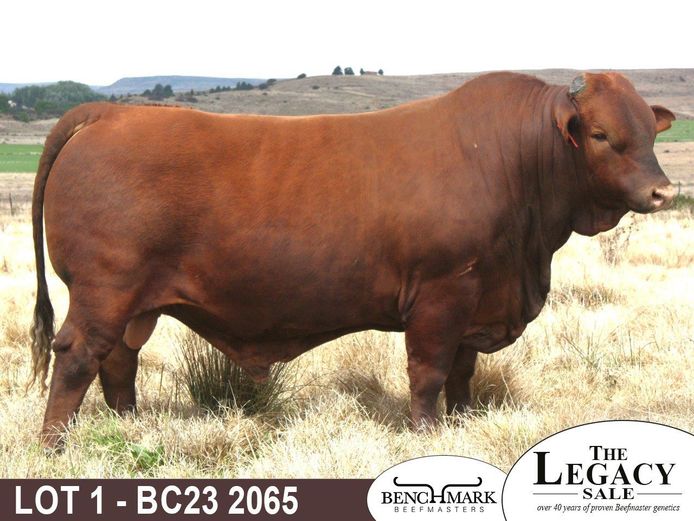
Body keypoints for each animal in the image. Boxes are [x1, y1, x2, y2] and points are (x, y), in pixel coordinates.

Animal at [30, 72, 676, 449]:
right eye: (600, 134)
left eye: (650, 129)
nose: (662, 192)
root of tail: (109, 113)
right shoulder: (442, 294)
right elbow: (429, 371)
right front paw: (426, 433)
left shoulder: (478, 300)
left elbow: (464, 373)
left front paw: (465, 421)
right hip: (104, 290)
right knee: (77, 357)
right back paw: (54, 445)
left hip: (133, 303)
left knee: (118, 361)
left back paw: (131, 428)